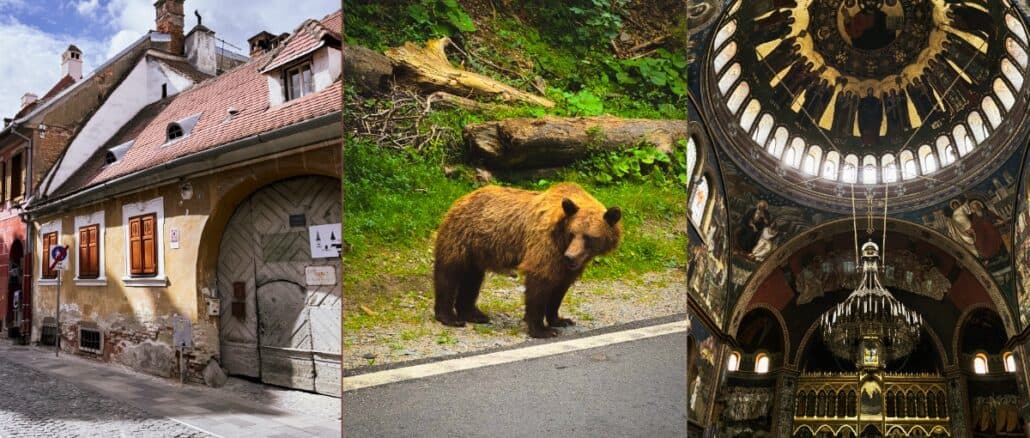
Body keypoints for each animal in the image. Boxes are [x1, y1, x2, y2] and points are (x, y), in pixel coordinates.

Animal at [433, 182, 622, 338]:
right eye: (572, 233)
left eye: (589, 237)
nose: (570, 256)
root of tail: (462, 198)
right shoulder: (544, 246)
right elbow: (538, 287)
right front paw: (543, 330)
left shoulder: (566, 264)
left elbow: (559, 289)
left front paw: (560, 319)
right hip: (461, 237)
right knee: (448, 274)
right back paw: (450, 317)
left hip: (477, 250)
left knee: (472, 279)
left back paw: (474, 314)